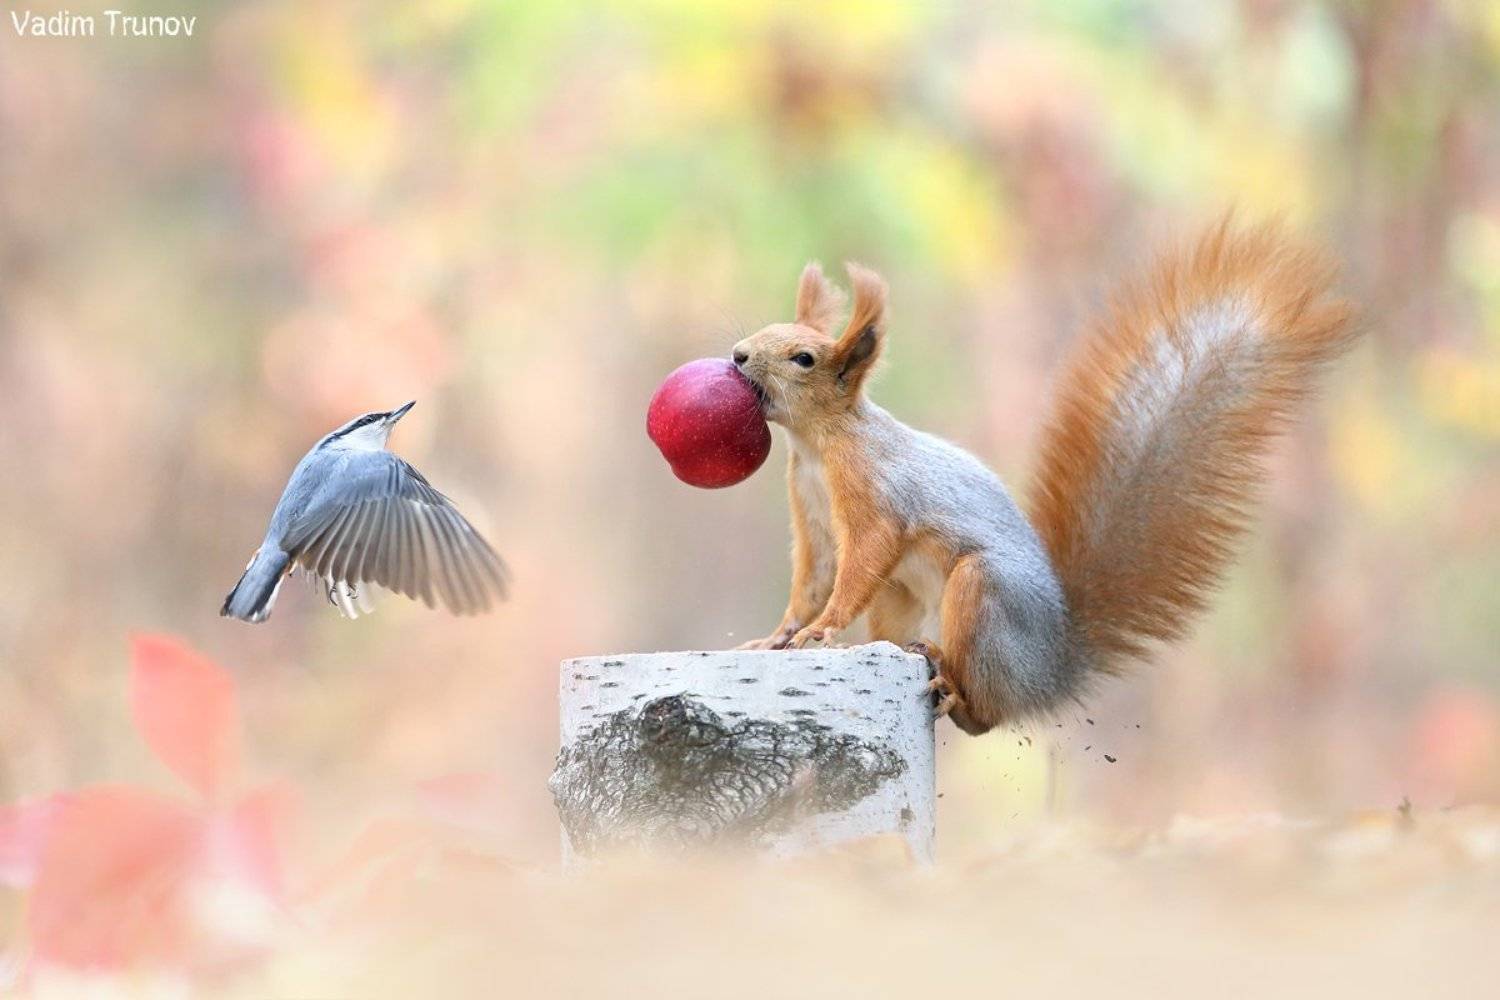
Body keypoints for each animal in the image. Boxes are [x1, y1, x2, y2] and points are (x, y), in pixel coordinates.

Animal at [730, 218, 1359, 735]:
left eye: (804, 358)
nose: (736, 355)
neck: (817, 444)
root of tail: (1050, 669)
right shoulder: (809, 504)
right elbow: (816, 574)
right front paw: (782, 634)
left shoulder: (875, 492)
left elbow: (861, 561)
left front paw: (824, 628)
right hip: (903, 595)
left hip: (983, 596)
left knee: (984, 717)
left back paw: (951, 685)